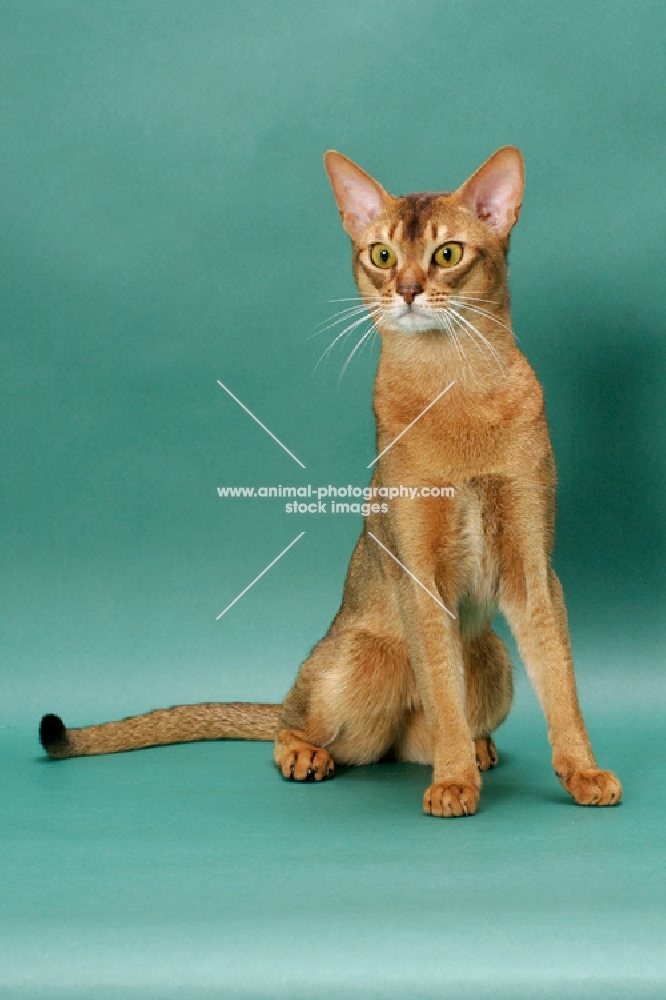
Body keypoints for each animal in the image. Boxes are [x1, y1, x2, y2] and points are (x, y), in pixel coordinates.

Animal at [39, 150, 620, 820]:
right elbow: (442, 686)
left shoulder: (532, 566)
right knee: (298, 722)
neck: (455, 386)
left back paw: (478, 749)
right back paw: (315, 755)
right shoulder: (419, 571)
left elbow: (561, 683)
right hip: (358, 661)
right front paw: (452, 785)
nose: (407, 291)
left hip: (494, 661)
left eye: (447, 253)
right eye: (382, 255)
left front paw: (582, 771)